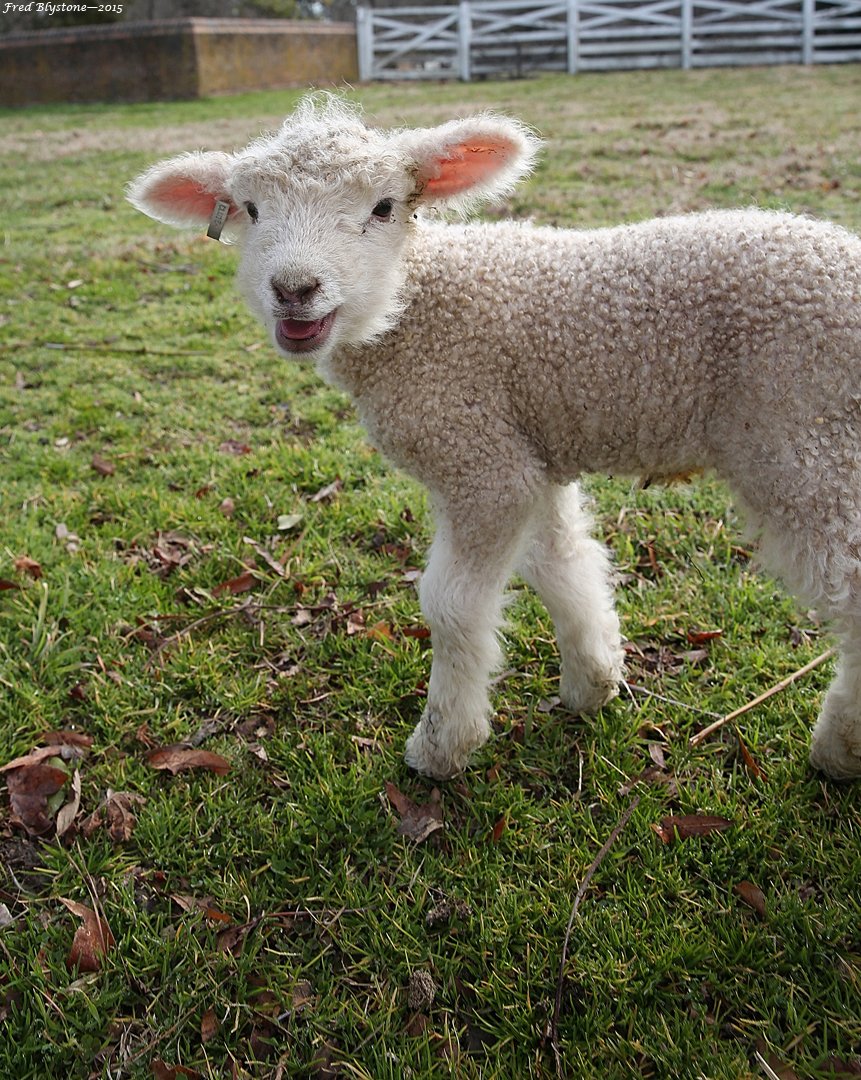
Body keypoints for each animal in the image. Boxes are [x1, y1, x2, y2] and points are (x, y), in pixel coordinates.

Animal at [128, 95, 861, 782]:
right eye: (249, 209)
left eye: (384, 207)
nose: (295, 288)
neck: (415, 307)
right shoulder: (527, 451)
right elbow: (562, 563)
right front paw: (593, 682)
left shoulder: (478, 458)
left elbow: (452, 607)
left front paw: (442, 746)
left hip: (806, 440)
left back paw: (838, 750)